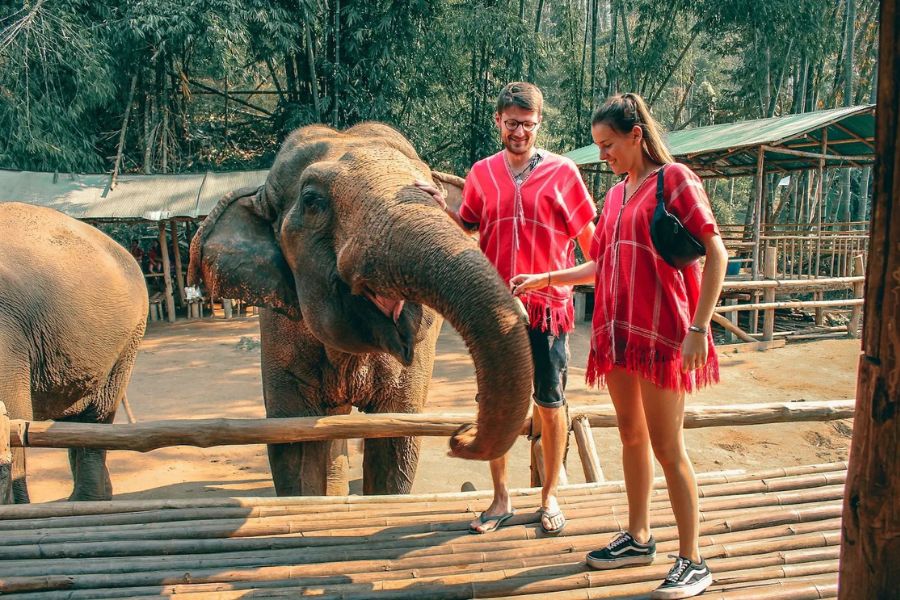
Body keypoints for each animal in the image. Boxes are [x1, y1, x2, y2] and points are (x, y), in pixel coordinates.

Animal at [186, 123, 532, 496]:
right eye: (312, 201)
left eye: (434, 194)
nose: (461, 435)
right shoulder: (279, 333)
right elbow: (294, 441)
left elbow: (396, 435)